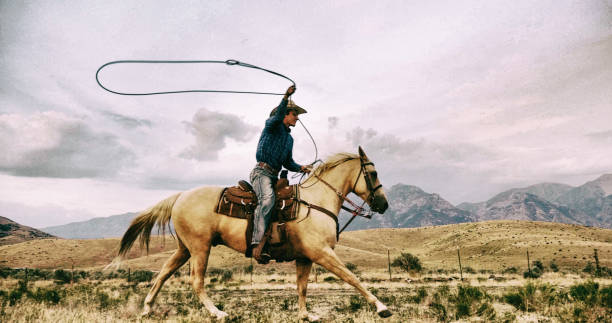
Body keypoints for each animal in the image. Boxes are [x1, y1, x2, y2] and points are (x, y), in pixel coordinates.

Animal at [114, 147, 390, 322]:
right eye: (373, 173)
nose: (384, 204)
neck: (316, 201)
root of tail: (180, 196)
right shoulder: (322, 253)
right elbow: (352, 278)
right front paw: (381, 307)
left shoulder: (305, 257)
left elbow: (302, 287)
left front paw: (305, 315)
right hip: (200, 248)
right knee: (196, 281)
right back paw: (217, 313)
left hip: (185, 249)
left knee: (163, 273)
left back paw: (147, 309)